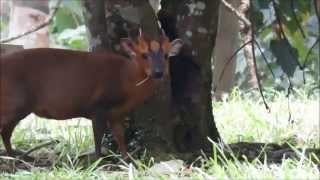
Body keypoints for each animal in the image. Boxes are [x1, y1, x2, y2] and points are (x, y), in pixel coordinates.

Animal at [0, 35, 182, 159]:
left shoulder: (117, 113)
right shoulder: (97, 106)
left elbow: (120, 136)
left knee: (6, 131)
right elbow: (98, 135)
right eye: (144, 55)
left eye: (166, 56)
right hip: (14, 102)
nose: (158, 72)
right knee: (5, 129)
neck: (127, 79)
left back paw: (16, 154)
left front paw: (127, 159)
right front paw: (98, 159)